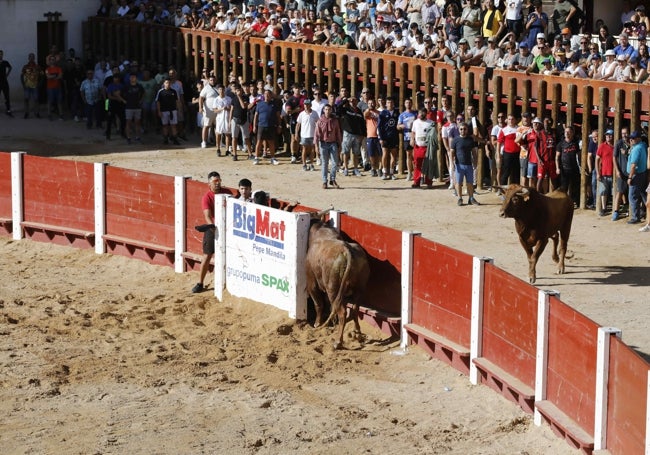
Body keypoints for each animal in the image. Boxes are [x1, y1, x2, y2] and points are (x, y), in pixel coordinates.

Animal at [306, 221, 370, 350]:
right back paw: (358, 334)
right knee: (354, 309)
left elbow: (318, 303)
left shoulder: (311, 284)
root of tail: (347, 250)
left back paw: (338, 342)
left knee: (343, 312)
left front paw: (317, 323)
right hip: (359, 289)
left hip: (333, 289)